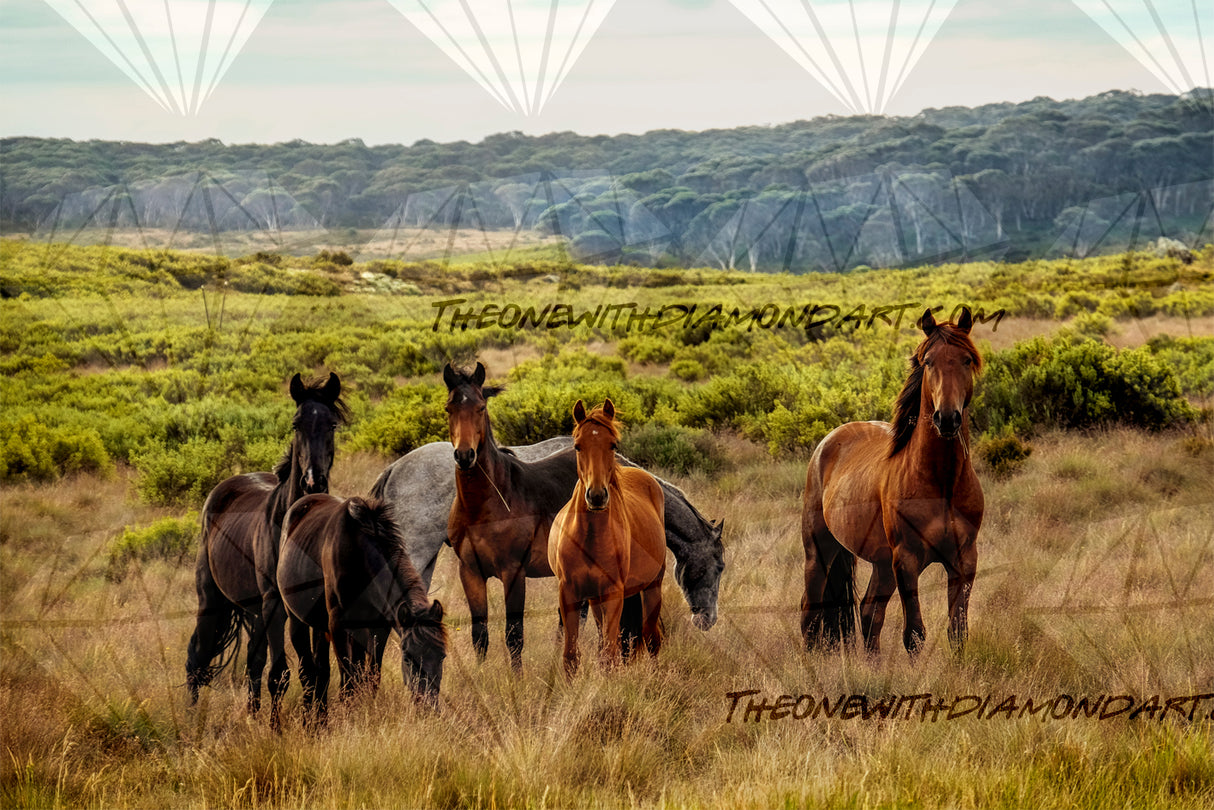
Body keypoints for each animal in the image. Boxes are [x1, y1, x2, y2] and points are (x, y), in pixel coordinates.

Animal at [185, 372, 345, 726]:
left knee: (253, 663)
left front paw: (317, 723)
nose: (313, 481)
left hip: (255, 612)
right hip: (213, 602)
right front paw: (278, 730)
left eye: (332, 424)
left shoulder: (311, 609)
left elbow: (317, 670)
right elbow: (283, 673)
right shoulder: (276, 607)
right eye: (296, 423)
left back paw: (252, 714)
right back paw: (191, 721)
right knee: (196, 659)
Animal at [277, 494, 446, 723]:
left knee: (322, 671)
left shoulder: (378, 627)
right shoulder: (337, 625)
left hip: (325, 628)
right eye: (407, 659)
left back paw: (320, 720)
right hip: (297, 621)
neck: (360, 556)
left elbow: (371, 677)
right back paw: (311, 722)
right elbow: (348, 681)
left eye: (442, 656)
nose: (429, 706)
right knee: (309, 673)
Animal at [549, 400, 666, 676]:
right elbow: (571, 657)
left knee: (651, 639)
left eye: (612, 444)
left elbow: (610, 656)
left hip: (653, 586)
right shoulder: (569, 593)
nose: (597, 496)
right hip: (595, 600)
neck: (591, 537)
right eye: (577, 445)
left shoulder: (614, 594)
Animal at [800, 307, 984, 657]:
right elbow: (914, 634)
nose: (947, 418)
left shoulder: (963, 560)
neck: (942, 483)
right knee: (810, 613)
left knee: (869, 613)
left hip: (882, 564)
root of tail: (828, 441)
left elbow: (958, 631)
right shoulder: (907, 561)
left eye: (966, 359)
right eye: (928, 362)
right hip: (820, 551)